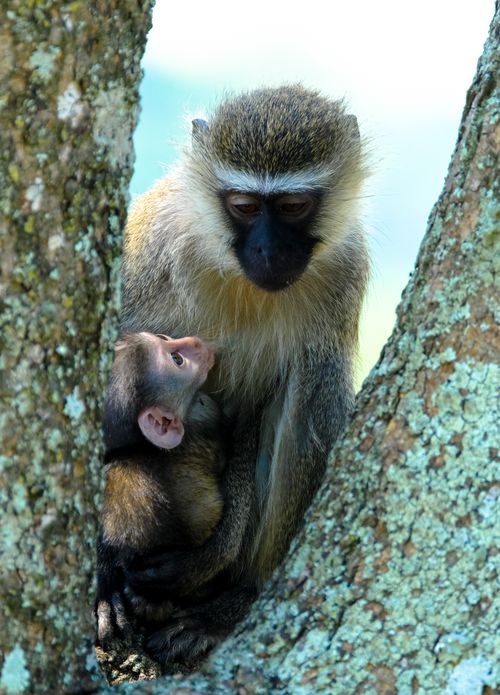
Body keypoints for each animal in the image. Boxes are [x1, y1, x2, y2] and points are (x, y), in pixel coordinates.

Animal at [118, 85, 369, 665]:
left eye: (294, 207)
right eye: (245, 206)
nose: (268, 251)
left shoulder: (346, 269)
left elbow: (260, 407)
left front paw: (213, 561)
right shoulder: (149, 253)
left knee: (315, 385)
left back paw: (234, 600)